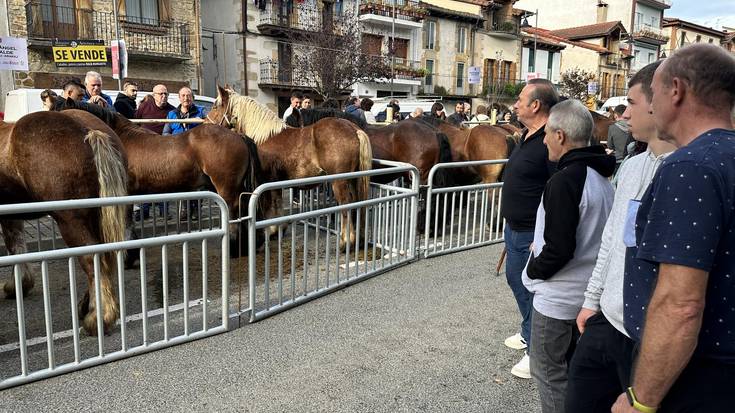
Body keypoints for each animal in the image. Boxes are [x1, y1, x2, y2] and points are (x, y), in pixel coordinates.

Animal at [0, 108, 128, 334]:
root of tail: (91, 132)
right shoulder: (11, 215)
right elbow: (16, 246)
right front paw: (19, 285)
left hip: (70, 220)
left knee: (91, 257)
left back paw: (99, 317)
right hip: (95, 217)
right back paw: (88, 306)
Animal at [207, 86, 374, 248]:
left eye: (215, 106)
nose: (205, 124)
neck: (265, 136)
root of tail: (354, 129)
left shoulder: (268, 180)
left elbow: (272, 205)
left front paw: (272, 231)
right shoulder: (276, 181)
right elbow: (278, 203)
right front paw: (278, 229)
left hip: (340, 182)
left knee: (345, 205)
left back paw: (346, 241)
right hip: (353, 180)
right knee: (358, 203)